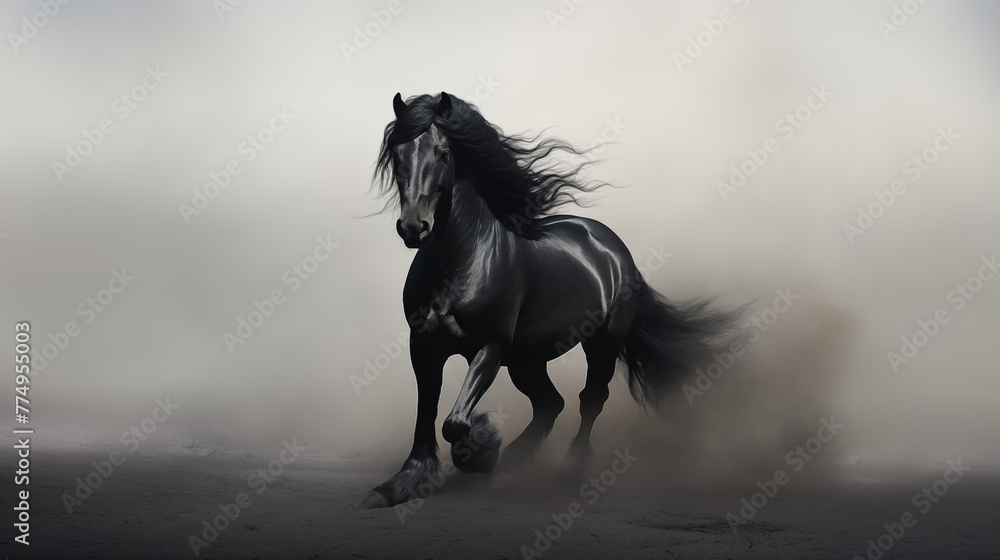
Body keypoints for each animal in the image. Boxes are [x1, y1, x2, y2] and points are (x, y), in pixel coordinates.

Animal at [360, 92, 742, 509]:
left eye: (443, 154)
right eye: (397, 154)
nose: (414, 227)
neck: (459, 264)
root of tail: (614, 248)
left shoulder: (490, 346)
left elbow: (454, 422)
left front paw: (482, 451)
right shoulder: (425, 345)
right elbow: (426, 412)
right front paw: (398, 485)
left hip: (601, 343)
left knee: (590, 399)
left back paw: (566, 470)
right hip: (527, 359)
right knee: (550, 404)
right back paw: (512, 466)